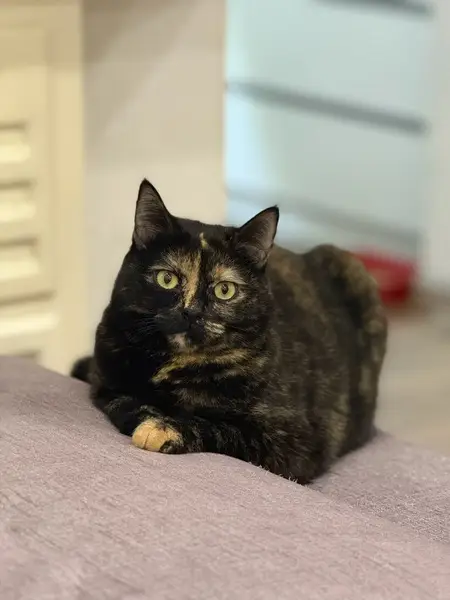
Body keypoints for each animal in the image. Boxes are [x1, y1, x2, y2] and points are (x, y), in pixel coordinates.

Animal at [72, 178, 387, 484]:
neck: (175, 367)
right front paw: (149, 415)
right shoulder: (106, 374)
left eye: (225, 290)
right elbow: (123, 401)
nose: (191, 312)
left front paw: (164, 428)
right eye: (167, 279)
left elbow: (221, 428)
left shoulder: (294, 442)